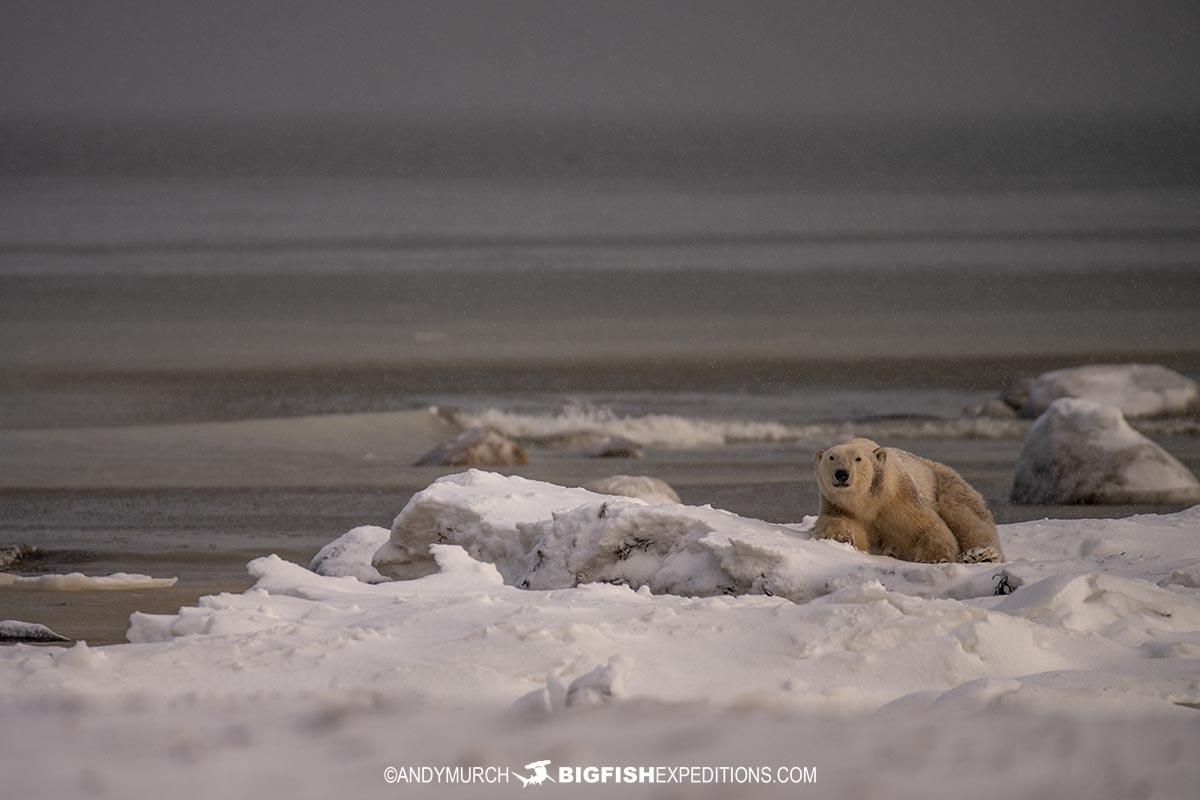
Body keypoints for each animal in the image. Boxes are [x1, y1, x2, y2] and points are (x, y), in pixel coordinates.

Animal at [812, 438, 1004, 564]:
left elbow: (927, 527)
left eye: (858, 458)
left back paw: (980, 555)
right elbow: (837, 523)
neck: (869, 501)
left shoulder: (898, 498)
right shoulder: (838, 506)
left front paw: (934, 559)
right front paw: (842, 539)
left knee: (966, 517)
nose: (841, 473)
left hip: (946, 484)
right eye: (831, 457)